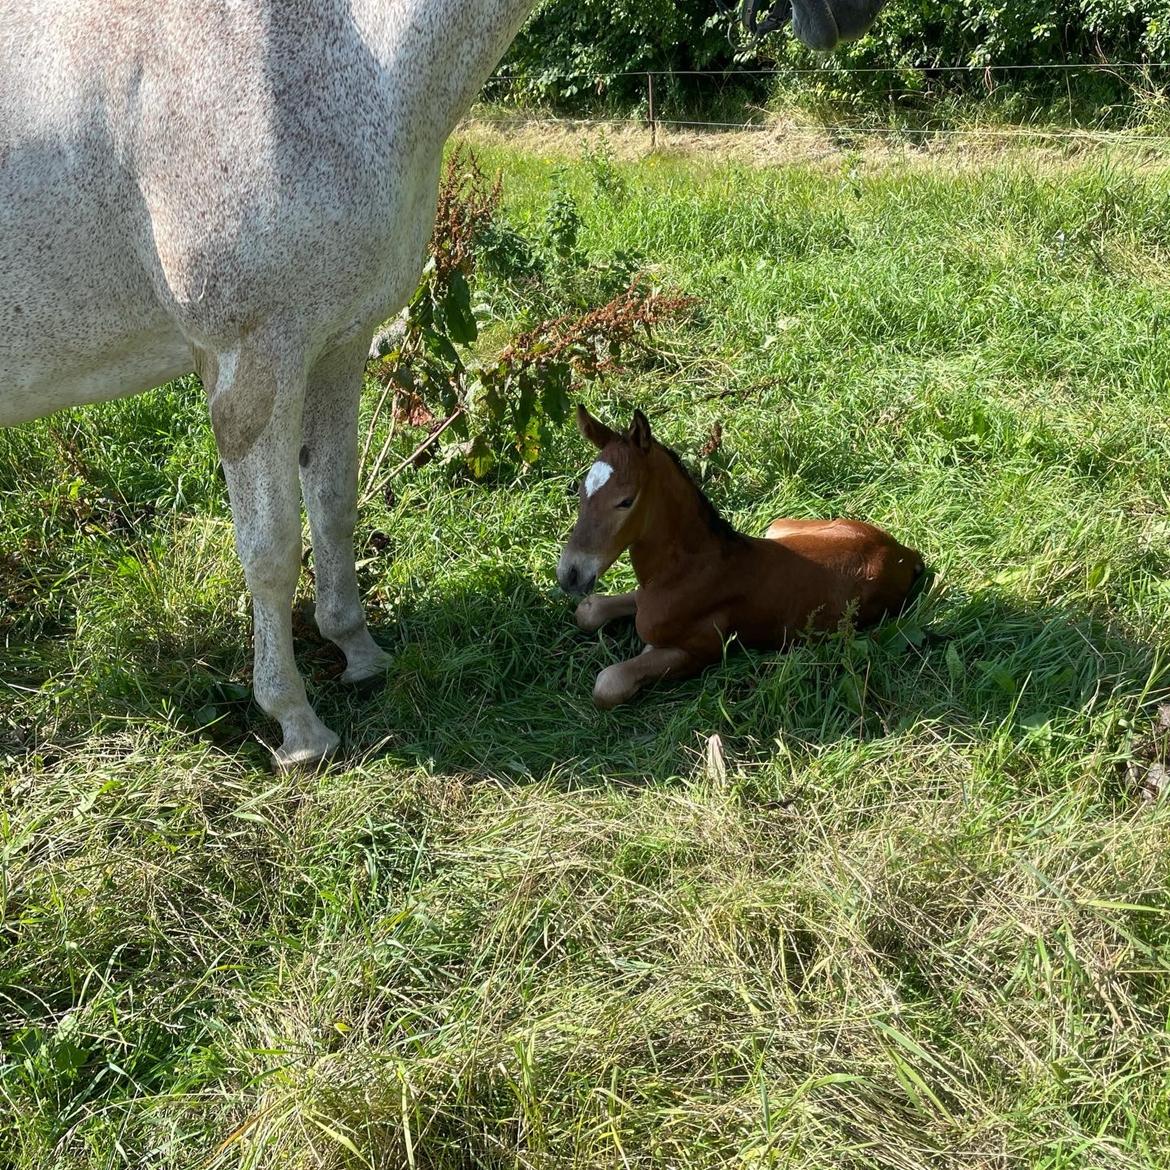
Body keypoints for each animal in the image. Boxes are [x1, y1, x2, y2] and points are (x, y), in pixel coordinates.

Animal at [0, 0, 879, 767]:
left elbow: (335, 509)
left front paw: (358, 652)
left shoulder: (336, 346)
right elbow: (272, 550)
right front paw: (297, 726)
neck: (339, 53)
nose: (853, 15)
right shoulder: (254, 360)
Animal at [556, 407, 931, 706]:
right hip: (778, 526)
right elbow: (588, 610)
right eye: (580, 490)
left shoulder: (703, 649)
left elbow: (610, 682)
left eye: (625, 501)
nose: (569, 574)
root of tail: (903, 553)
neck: (688, 568)